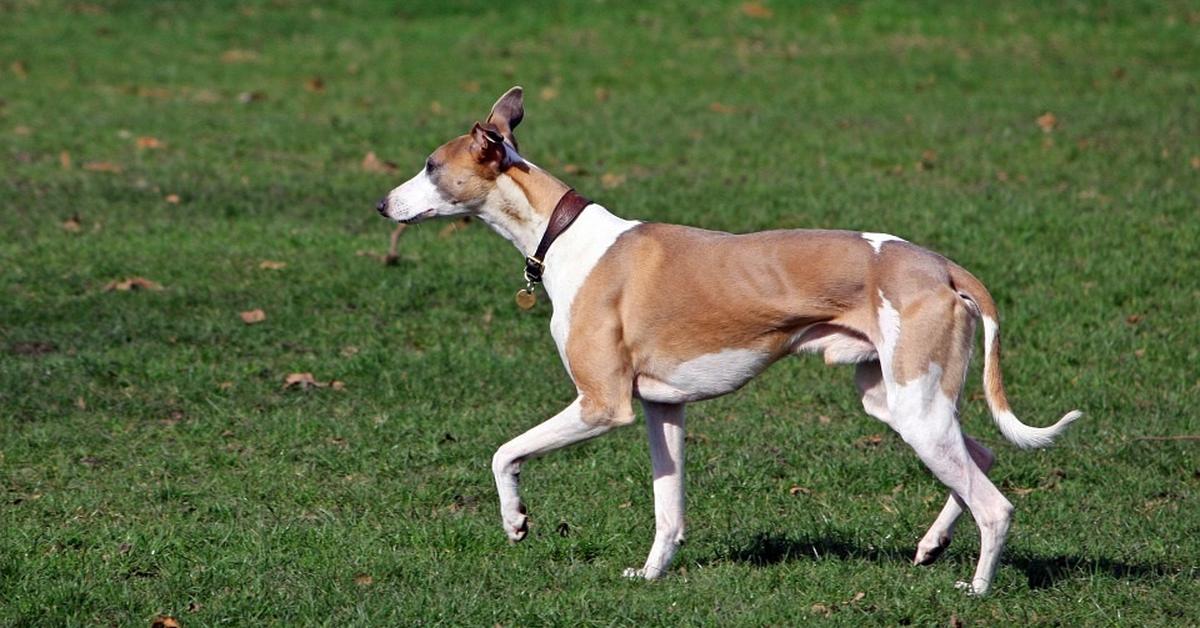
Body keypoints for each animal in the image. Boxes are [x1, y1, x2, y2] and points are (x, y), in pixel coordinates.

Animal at [374, 87, 1080, 595]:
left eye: (431, 166)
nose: (382, 205)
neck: (562, 231)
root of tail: (941, 266)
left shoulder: (603, 404)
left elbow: (504, 453)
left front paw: (516, 521)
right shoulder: (661, 408)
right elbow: (668, 510)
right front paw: (650, 575)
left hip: (916, 409)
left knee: (996, 505)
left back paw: (977, 588)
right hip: (897, 400)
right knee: (981, 456)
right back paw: (932, 545)